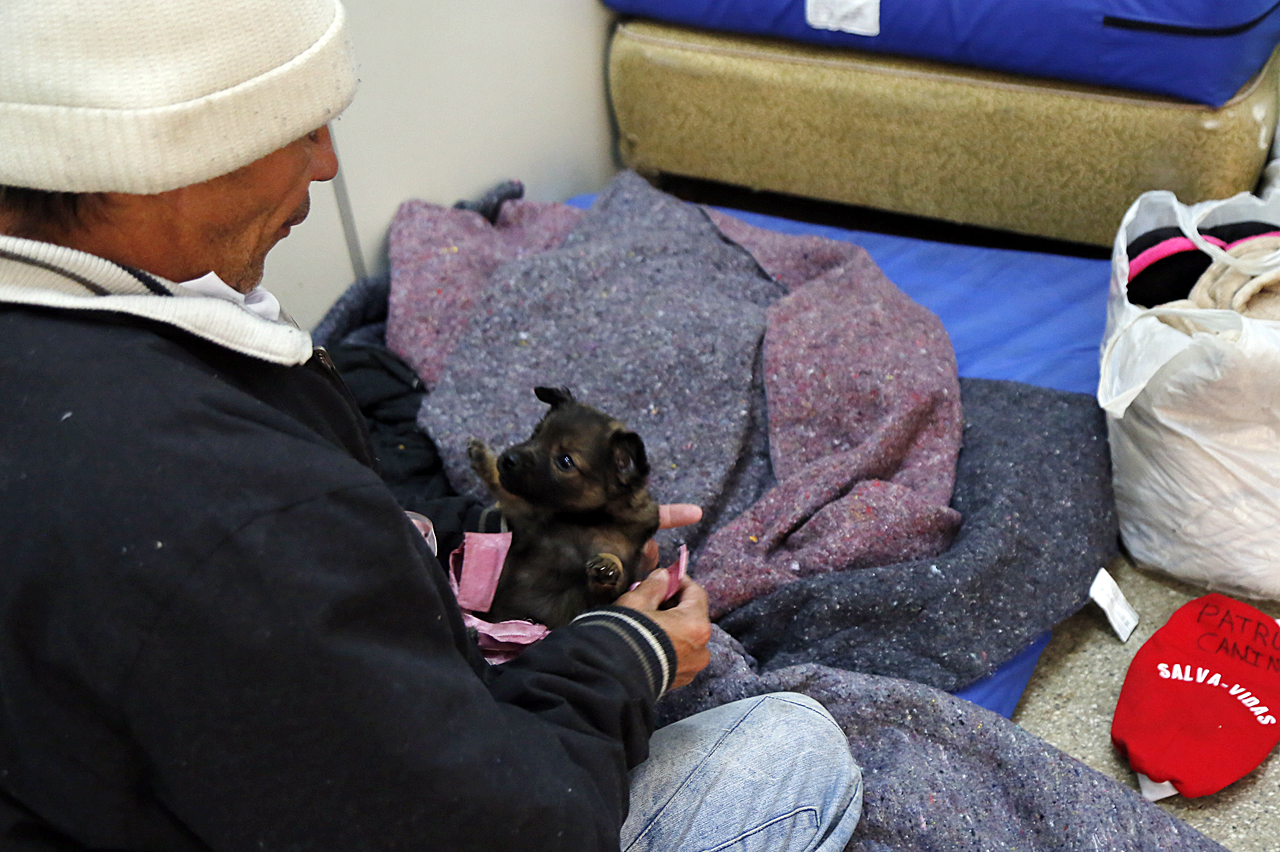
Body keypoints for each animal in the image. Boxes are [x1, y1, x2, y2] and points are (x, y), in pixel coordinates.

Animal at [468, 383, 660, 624]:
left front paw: (609, 565)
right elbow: (506, 490)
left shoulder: (600, 594)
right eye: (536, 433)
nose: (507, 459)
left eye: (565, 461)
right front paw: (484, 457)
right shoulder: (524, 519)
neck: (583, 520)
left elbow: (612, 577)